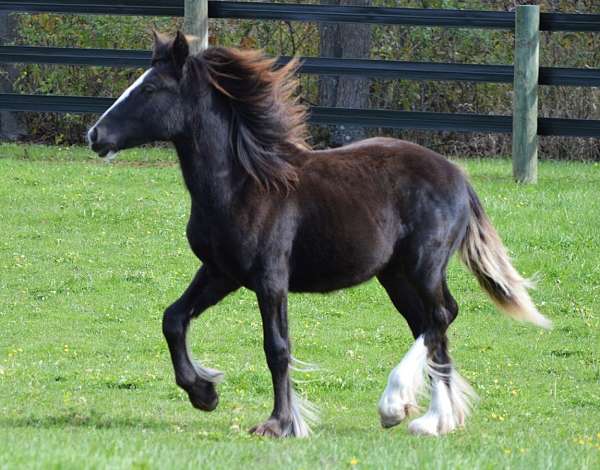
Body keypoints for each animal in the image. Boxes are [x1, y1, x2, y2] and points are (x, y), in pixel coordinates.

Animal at [86, 32, 552, 436]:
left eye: (150, 89)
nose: (95, 135)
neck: (244, 184)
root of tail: (458, 177)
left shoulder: (271, 279)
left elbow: (277, 348)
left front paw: (280, 423)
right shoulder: (221, 273)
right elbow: (173, 319)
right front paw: (205, 392)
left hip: (423, 264)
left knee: (439, 317)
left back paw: (399, 406)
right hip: (395, 274)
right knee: (432, 322)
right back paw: (433, 419)